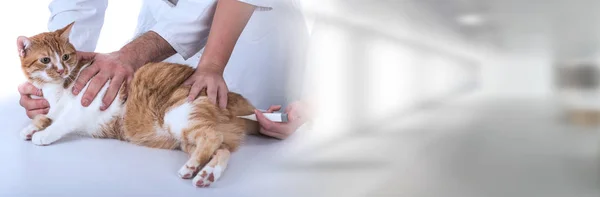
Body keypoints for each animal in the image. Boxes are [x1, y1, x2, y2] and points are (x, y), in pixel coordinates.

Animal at [16, 22, 258, 187]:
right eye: (46, 60)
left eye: (66, 57)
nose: (61, 70)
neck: (57, 88)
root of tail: (232, 97)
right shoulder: (53, 107)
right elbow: (46, 116)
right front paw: (31, 127)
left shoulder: (84, 104)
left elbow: (61, 121)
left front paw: (42, 134)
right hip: (186, 139)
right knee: (222, 150)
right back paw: (206, 174)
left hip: (180, 115)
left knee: (212, 137)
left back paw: (190, 168)